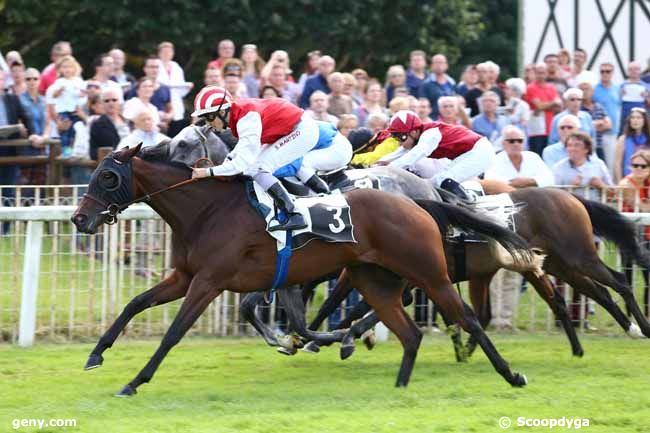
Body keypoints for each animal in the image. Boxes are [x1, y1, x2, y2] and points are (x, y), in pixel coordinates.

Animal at [71, 145, 536, 394]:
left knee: (468, 319)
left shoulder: (209, 281)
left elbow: (173, 333)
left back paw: (511, 375)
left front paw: (134, 380)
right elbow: (134, 304)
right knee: (410, 332)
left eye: (108, 177)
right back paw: (396, 382)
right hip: (374, 279)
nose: (79, 219)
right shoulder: (185, 277)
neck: (207, 209)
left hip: (430, 274)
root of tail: (418, 200)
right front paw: (95, 354)